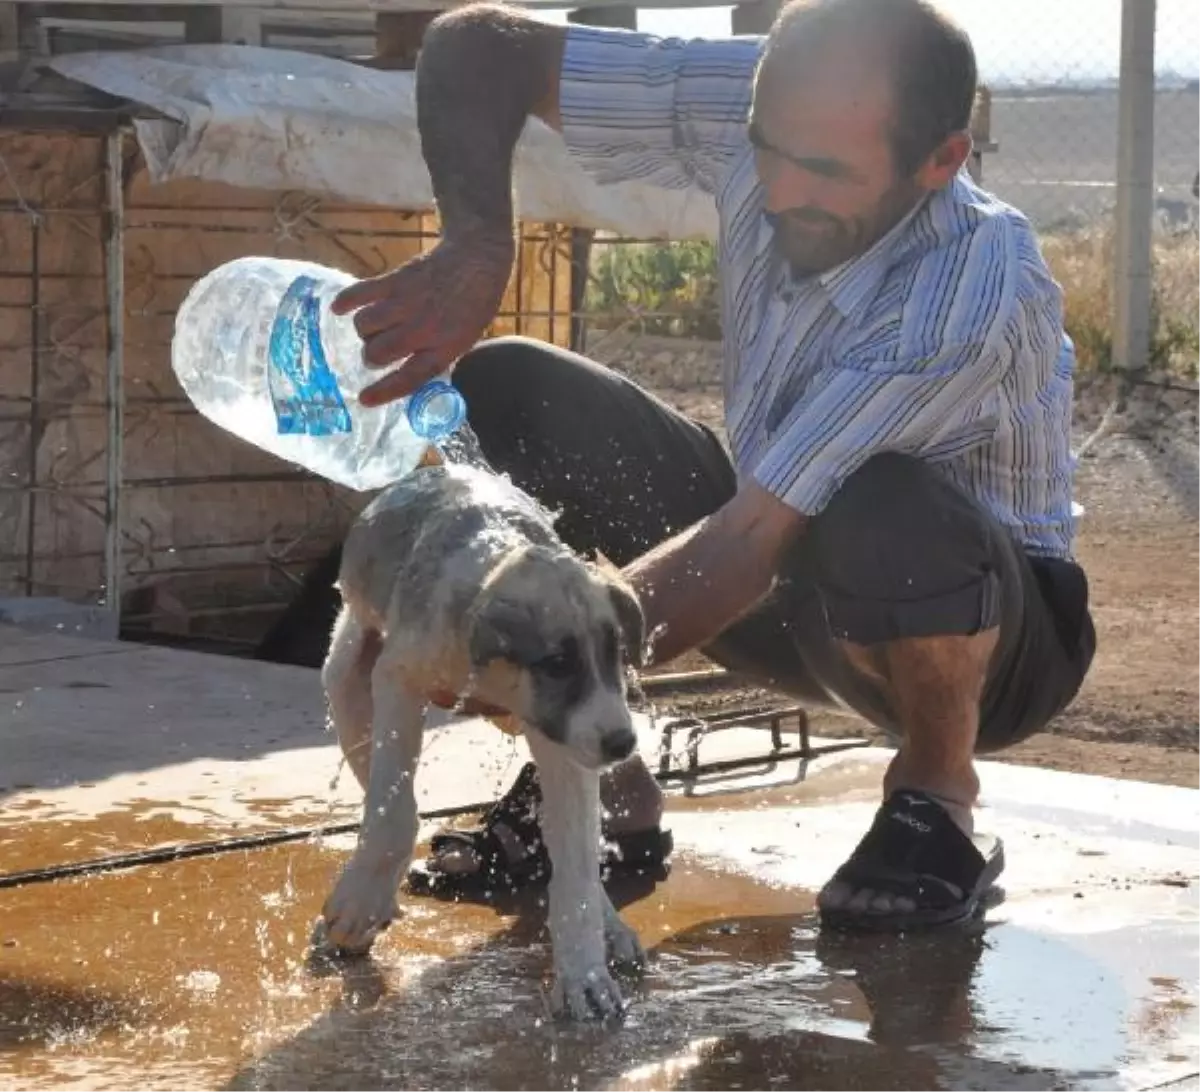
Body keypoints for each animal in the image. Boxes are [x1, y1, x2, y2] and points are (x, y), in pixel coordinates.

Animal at [314, 460, 643, 1017]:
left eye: (615, 656)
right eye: (558, 663)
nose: (624, 745)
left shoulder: (564, 739)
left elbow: (576, 860)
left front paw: (584, 973)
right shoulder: (398, 680)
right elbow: (394, 813)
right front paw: (358, 908)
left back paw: (610, 929)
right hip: (348, 687)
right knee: (381, 798)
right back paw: (372, 897)